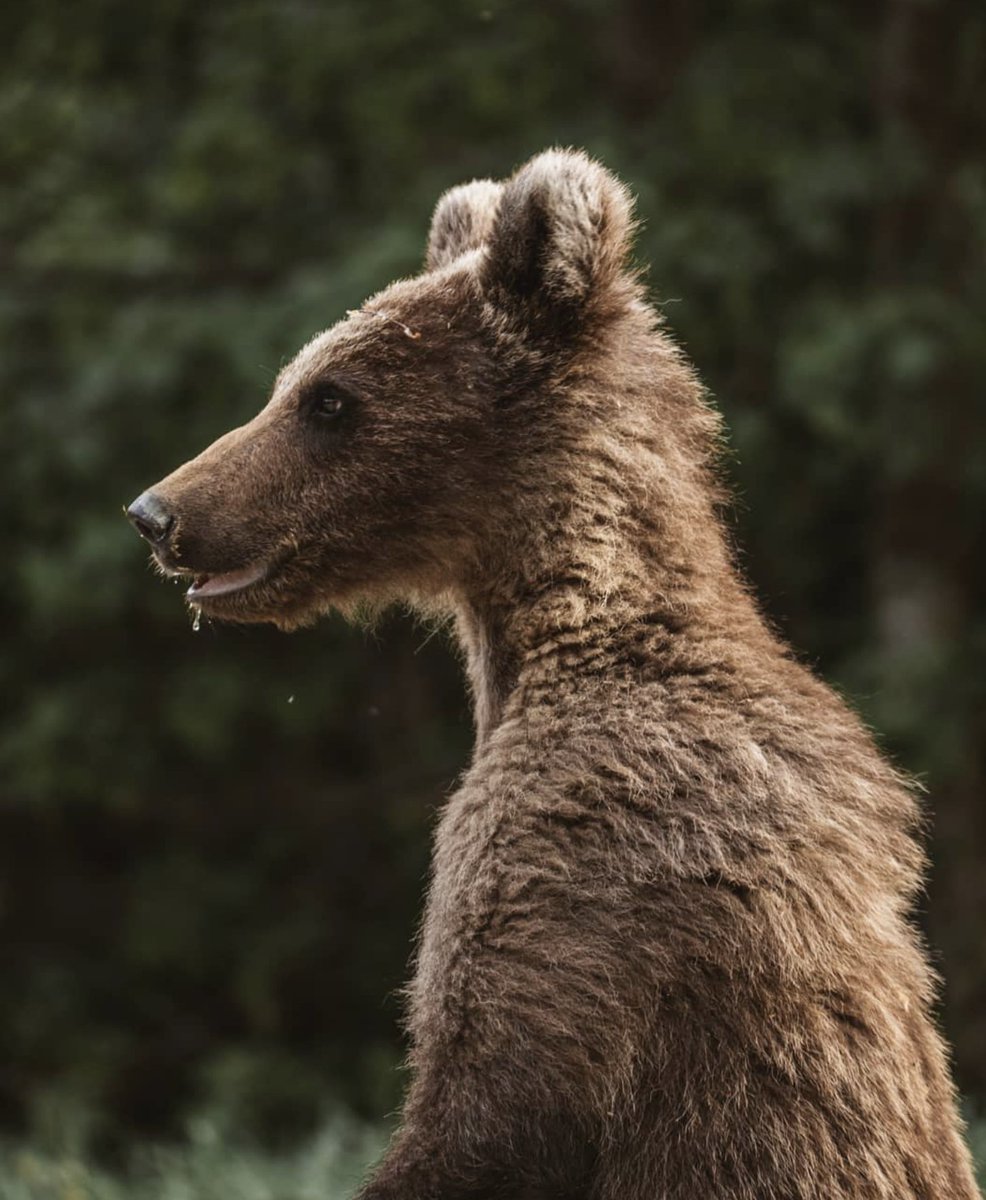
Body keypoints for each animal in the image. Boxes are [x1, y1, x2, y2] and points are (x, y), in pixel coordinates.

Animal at [125, 150, 978, 1200]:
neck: (554, 643)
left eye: (329, 396)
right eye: (296, 380)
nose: (157, 511)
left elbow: (495, 1091)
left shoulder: (576, 857)